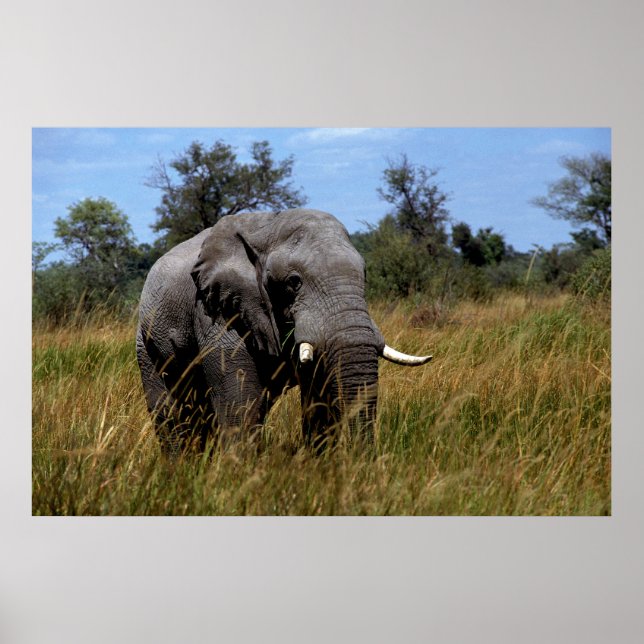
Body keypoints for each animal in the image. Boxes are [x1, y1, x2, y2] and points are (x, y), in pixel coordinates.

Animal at [136, 208, 431, 454]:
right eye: (293, 282)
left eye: (365, 275)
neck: (269, 228)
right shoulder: (218, 309)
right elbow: (239, 403)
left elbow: (318, 398)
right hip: (146, 343)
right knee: (170, 414)